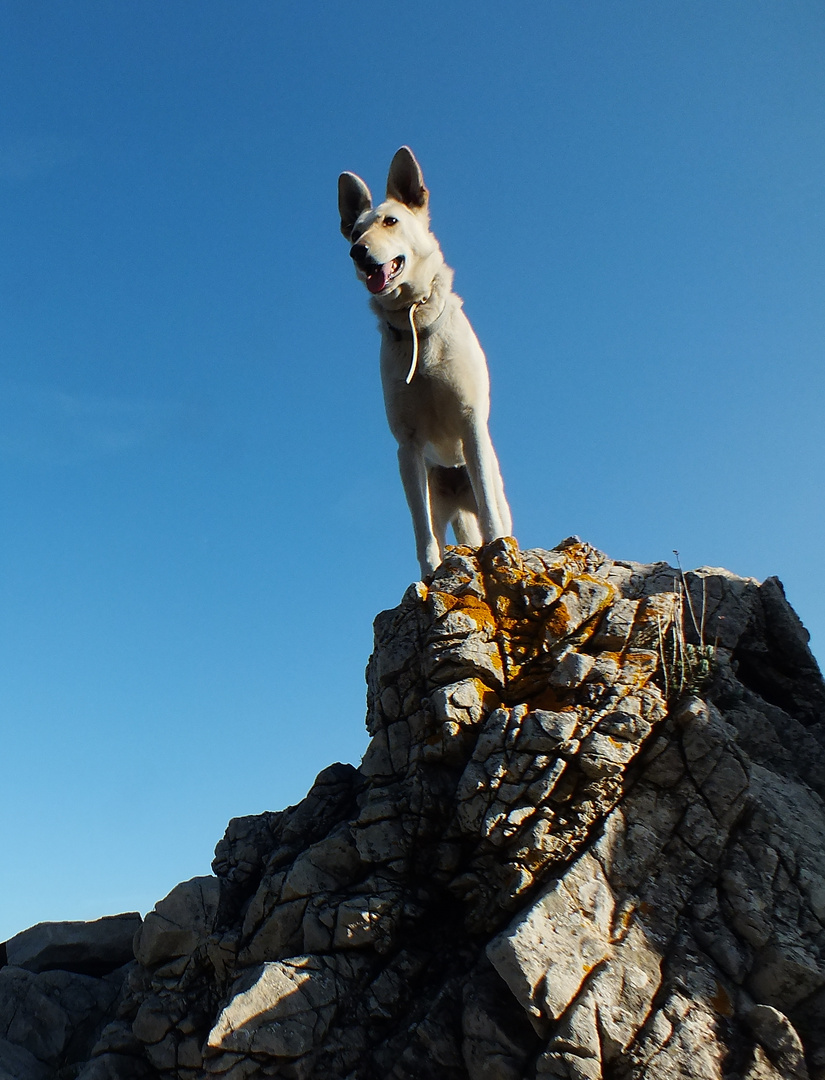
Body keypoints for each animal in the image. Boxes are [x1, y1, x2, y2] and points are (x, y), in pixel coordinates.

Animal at [339, 147, 511, 578]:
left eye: (391, 221)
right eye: (354, 232)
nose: (357, 252)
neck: (415, 321)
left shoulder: (470, 422)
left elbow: (488, 511)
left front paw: (499, 552)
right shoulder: (408, 447)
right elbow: (421, 530)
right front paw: (430, 573)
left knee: (490, 508)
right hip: (438, 499)